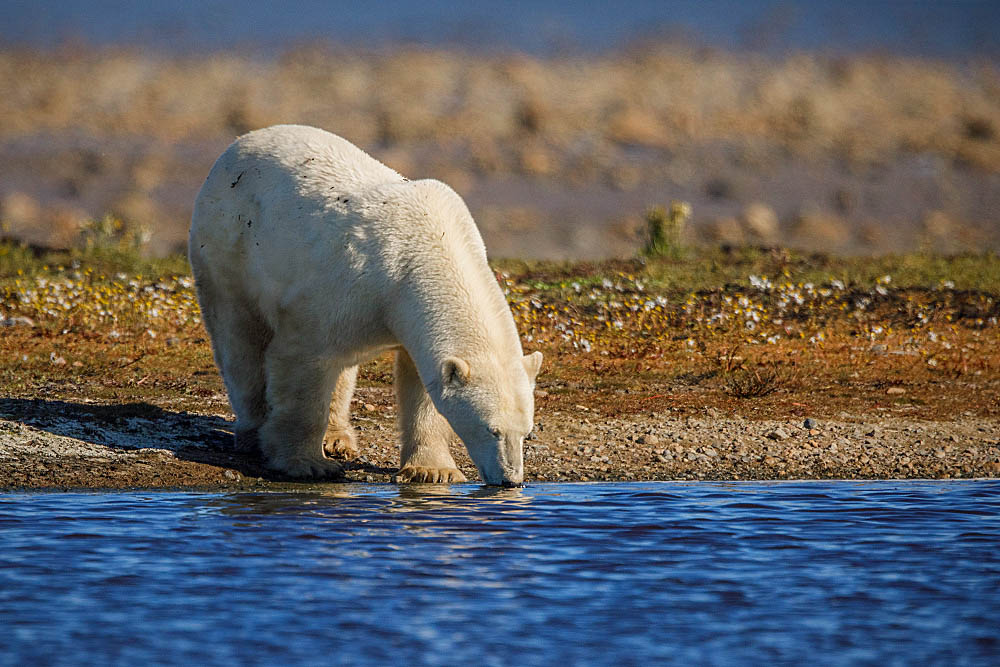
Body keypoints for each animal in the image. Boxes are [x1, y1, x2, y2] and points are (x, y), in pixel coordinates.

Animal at [190, 124, 544, 486]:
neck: (426, 251)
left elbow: (421, 384)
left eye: (527, 432)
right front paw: (306, 463)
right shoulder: (349, 285)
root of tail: (241, 142)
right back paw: (254, 432)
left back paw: (337, 439)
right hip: (227, 249)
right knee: (240, 341)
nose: (511, 479)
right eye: (491, 430)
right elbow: (303, 360)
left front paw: (433, 470)